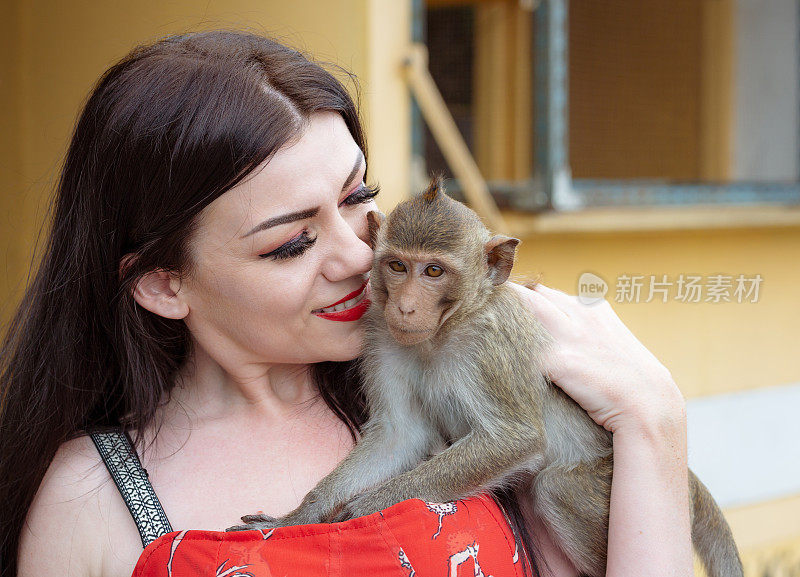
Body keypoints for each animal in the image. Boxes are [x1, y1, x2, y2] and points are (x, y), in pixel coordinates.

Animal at [231, 179, 744, 576]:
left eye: (433, 270)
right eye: (397, 265)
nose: (406, 307)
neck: (442, 334)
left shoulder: (489, 345)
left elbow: (514, 439)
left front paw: (361, 511)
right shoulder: (382, 337)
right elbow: (399, 434)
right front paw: (300, 517)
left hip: (601, 478)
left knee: (557, 487)